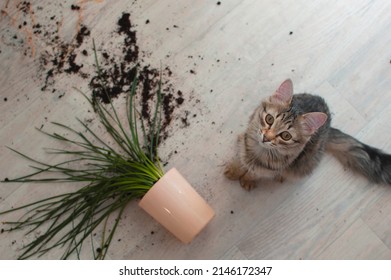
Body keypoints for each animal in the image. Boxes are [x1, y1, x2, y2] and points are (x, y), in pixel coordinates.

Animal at [225, 78, 391, 190]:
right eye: (269, 119)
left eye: (286, 136)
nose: (266, 137)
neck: (258, 152)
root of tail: (328, 125)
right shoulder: (244, 143)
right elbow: (240, 159)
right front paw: (235, 170)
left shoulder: (269, 169)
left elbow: (255, 172)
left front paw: (248, 179)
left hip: (304, 164)